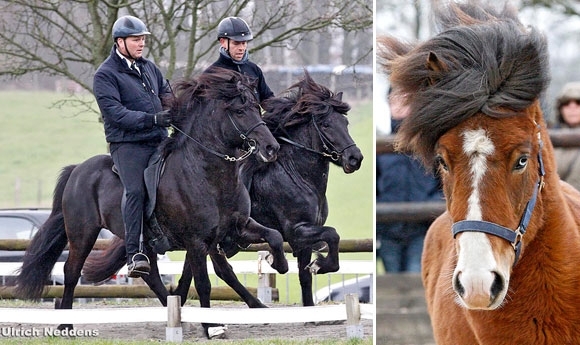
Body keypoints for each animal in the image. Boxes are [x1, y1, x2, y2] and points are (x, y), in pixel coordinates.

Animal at [15, 68, 290, 338]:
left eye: (257, 106)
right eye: (240, 111)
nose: (271, 148)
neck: (208, 175)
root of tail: (78, 170)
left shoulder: (236, 227)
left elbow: (274, 236)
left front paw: (278, 265)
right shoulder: (197, 241)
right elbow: (205, 282)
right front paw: (212, 326)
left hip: (144, 241)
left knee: (152, 277)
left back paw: (177, 313)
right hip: (83, 235)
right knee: (71, 273)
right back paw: (65, 325)